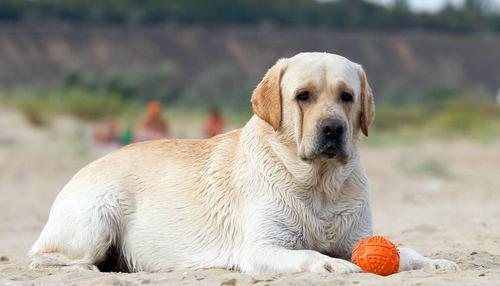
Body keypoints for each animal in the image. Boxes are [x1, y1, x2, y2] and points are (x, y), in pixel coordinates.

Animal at [28, 52, 458, 274]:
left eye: (346, 96)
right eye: (303, 95)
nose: (333, 128)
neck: (318, 184)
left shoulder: (356, 237)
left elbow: (404, 251)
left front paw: (434, 261)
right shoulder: (262, 248)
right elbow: (310, 255)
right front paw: (336, 267)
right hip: (96, 220)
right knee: (49, 257)